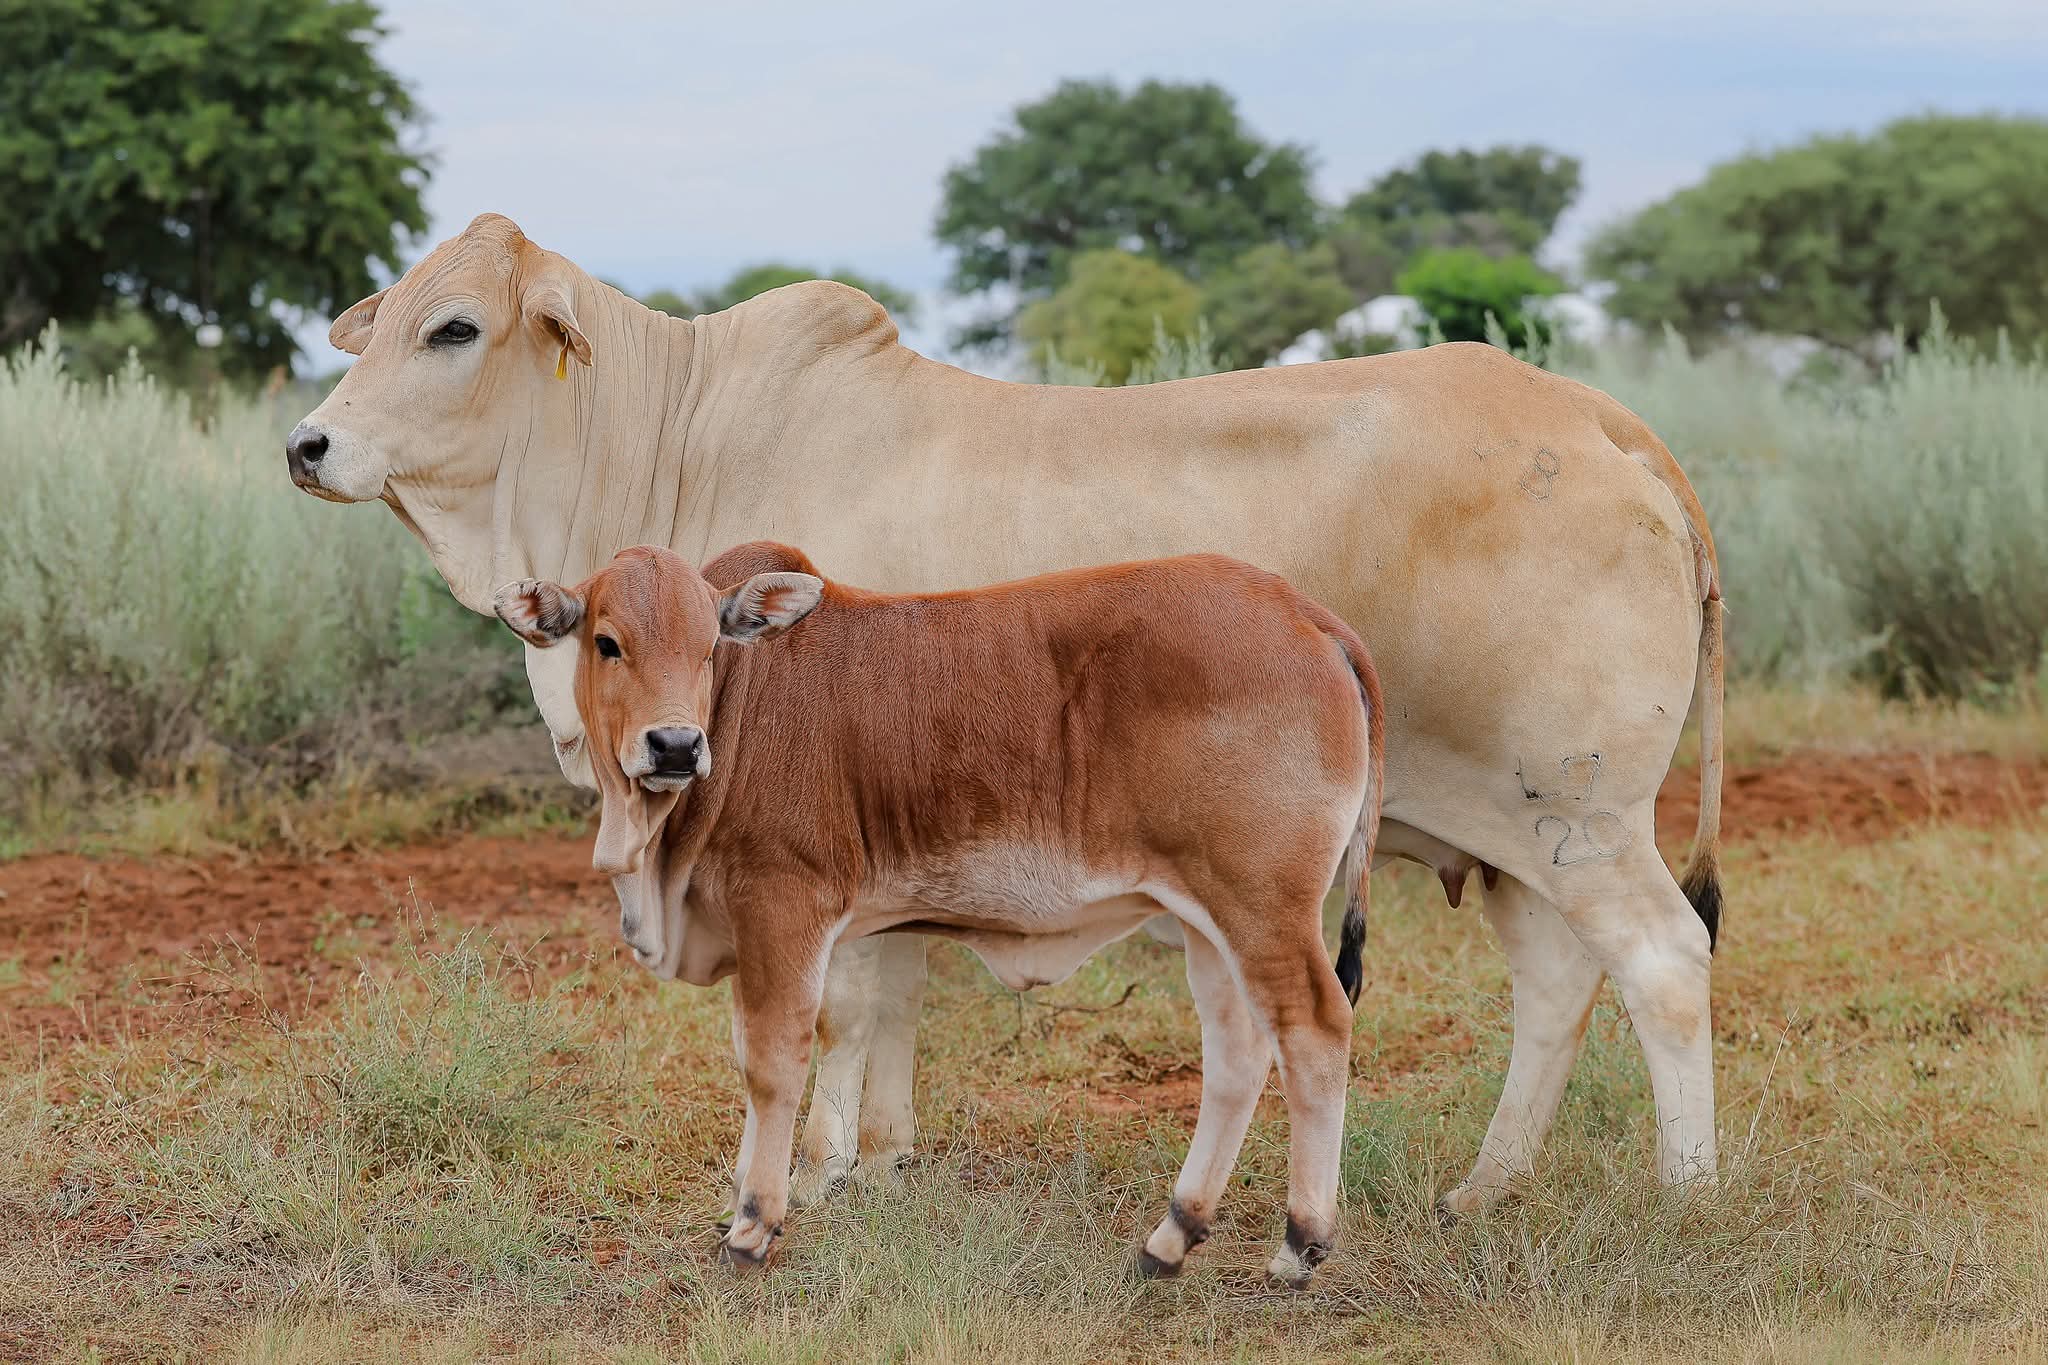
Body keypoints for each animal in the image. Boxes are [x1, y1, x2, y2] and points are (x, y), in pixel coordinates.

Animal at [492, 539, 1384, 1279]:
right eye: (608, 642)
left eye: (711, 646)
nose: (675, 746)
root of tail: (1303, 610)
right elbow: (757, 1056)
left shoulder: (786, 905)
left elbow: (774, 1061)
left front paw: (756, 1221)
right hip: (1208, 916)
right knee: (1238, 1051)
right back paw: (1172, 1234)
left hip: (1263, 906)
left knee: (1314, 1029)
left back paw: (1302, 1240)